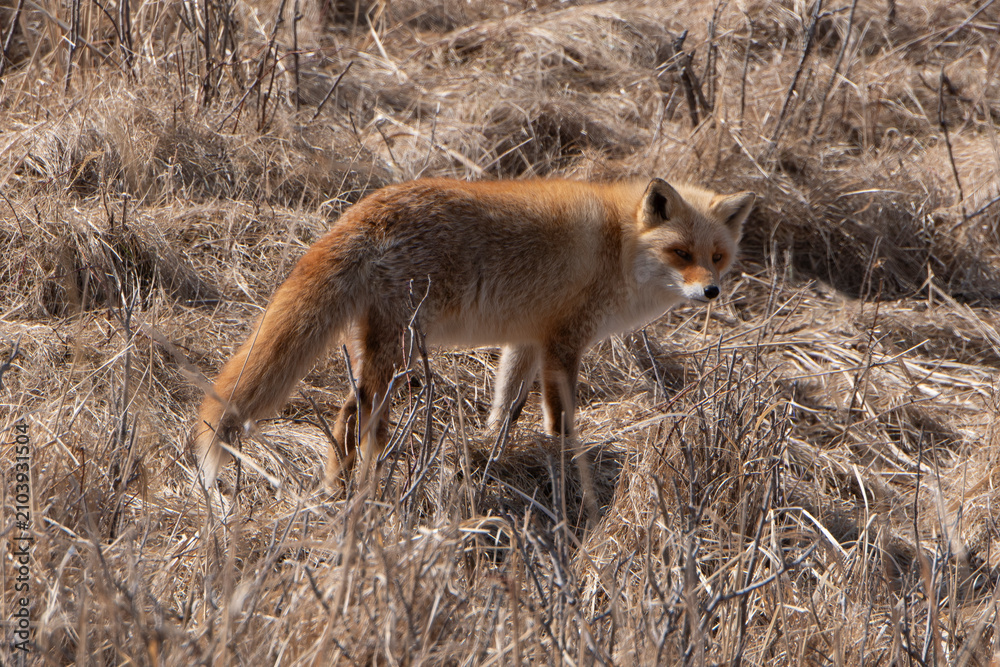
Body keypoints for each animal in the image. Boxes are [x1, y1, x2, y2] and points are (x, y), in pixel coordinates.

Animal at [194, 177, 755, 490]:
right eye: (680, 253)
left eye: (717, 257)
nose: (711, 291)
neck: (617, 247)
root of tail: (369, 207)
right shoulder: (563, 342)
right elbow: (560, 418)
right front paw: (564, 461)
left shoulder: (525, 340)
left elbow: (505, 406)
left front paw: (494, 449)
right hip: (401, 349)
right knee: (361, 413)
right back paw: (362, 482)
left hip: (379, 346)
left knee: (356, 412)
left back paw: (351, 479)